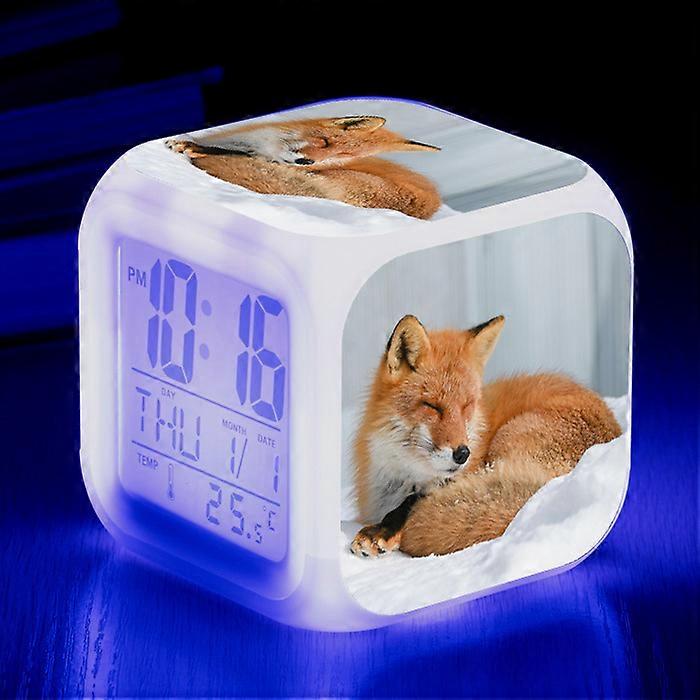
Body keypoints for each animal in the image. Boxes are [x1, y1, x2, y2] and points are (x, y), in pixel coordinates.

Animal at [351, 314, 622, 558]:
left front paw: (383, 530)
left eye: (467, 405)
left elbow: (415, 499)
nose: (463, 454)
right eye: (432, 406)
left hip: (508, 438)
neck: (406, 476)